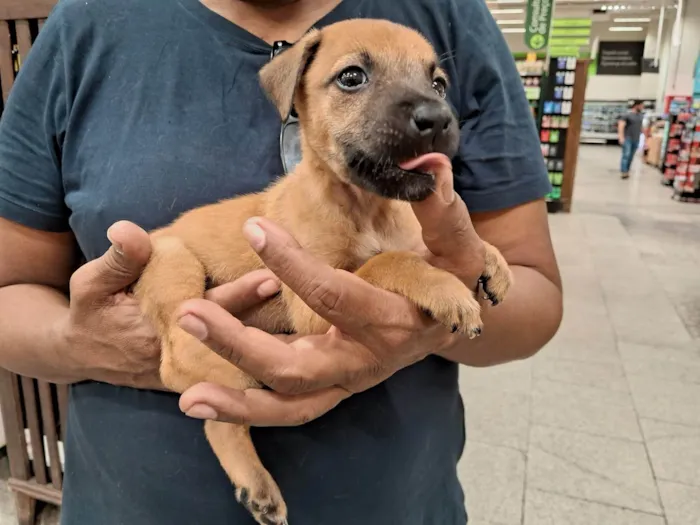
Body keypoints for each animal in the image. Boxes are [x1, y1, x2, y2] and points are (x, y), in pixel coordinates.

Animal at [134, 18, 512, 524]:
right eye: (352, 77)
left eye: (438, 84)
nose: (438, 119)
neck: (367, 209)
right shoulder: (312, 305)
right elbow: (386, 260)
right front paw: (442, 286)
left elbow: (408, 251)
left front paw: (492, 259)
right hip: (177, 264)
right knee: (175, 353)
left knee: (219, 423)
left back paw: (256, 484)